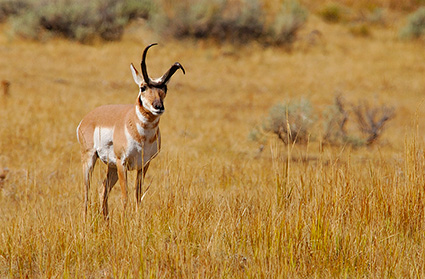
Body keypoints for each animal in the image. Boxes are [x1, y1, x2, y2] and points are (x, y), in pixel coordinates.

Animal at [76, 43, 184, 219]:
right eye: (143, 87)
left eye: (165, 88)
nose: (158, 106)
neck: (142, 135)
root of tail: (88, 117)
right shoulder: (122, 163)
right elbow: (125, 196)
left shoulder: (144, 165)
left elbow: (137, 195)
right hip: (90, 159)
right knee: (86, 191)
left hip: (111, 167)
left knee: (102, 190)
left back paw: (106, 222)